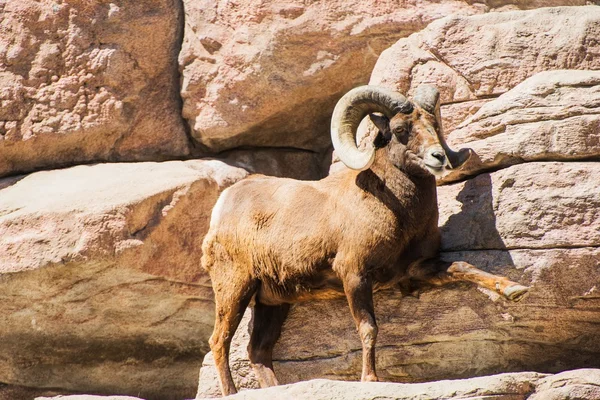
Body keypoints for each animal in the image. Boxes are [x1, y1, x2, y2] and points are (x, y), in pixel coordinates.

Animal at [203, 85, 528, 396]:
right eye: (400, 129)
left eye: (434, 124)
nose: (438, 157)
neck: (398, 214)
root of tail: (224, 203)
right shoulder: (354, 275)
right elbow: (368, 328)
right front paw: (370, 378)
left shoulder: (418, 268)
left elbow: (463, 267)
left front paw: (513, 289)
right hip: (235, 288)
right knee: (219, 340)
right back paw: (230, 392)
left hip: (273, 302)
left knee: (258, 350)